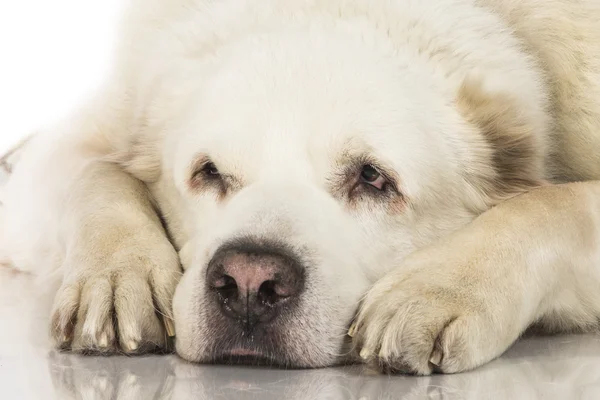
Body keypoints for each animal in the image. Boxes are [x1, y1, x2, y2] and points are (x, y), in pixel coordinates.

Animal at [1, 0, 600, 376]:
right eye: (209, 172)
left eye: (372, 177)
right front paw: (116, 276)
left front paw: (438, 290)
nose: (249, 282)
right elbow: (95, 172)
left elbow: (555, 202)